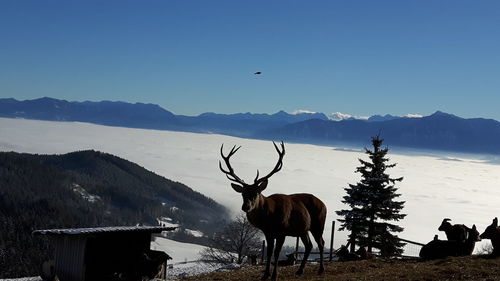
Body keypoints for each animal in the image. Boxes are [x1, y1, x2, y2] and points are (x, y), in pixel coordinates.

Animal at [220, 142, 328, 280]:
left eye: (256, 193)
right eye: (243, 194)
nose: (246, 207)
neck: (269, 218)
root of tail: (324, 204)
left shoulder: (282, 231)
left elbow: (276, 253)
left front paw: (274, 276)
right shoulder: (268, 233)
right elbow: (269, 252)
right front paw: (265, 275)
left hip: (318, 224)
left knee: (321, 243)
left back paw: (321, 269)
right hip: (304, 229)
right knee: (309, 245)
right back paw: (300, 271)